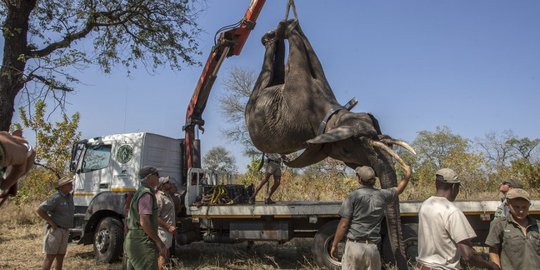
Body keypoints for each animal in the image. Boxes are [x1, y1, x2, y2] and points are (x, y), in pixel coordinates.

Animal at [247, 19, 416, 270]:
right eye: (352, 145)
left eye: (348, 152)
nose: (402, 260)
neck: (332, 115)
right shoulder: (301, 97)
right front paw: (289, 26)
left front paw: (288, 27)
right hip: (254, 103)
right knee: (267, 76)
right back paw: (271, 36)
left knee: (272, 73)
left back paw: (271, 36)